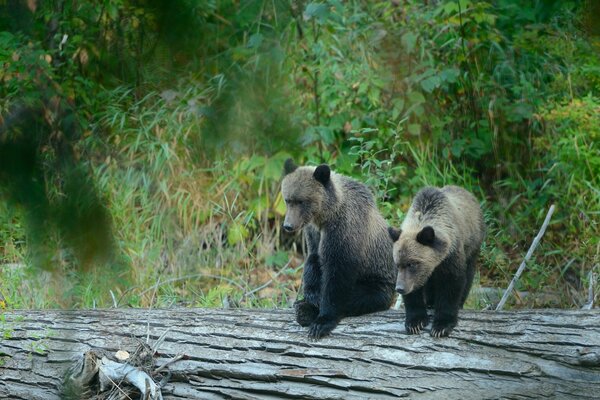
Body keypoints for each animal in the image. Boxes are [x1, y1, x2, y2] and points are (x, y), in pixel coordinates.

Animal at [282, 159, 398, 340]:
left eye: (301, 201)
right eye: (288, 200)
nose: (288, 225)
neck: (325, 215)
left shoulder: (344, 229)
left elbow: (337, 274)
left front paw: (321, 322)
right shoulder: (314, 232)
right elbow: (313, 260)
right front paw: (310, 297)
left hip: (378, 283)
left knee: (358, 297)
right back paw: (302, 309)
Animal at [386, 186, 486, 336]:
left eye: (412, 263)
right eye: (398, 264)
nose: (400, 288)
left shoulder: (451, 256)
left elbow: (452, 285)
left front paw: (441, 326)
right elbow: (415, 291)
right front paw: (415, 322)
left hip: (473, 244)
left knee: (469, 275)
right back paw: (430, 302)